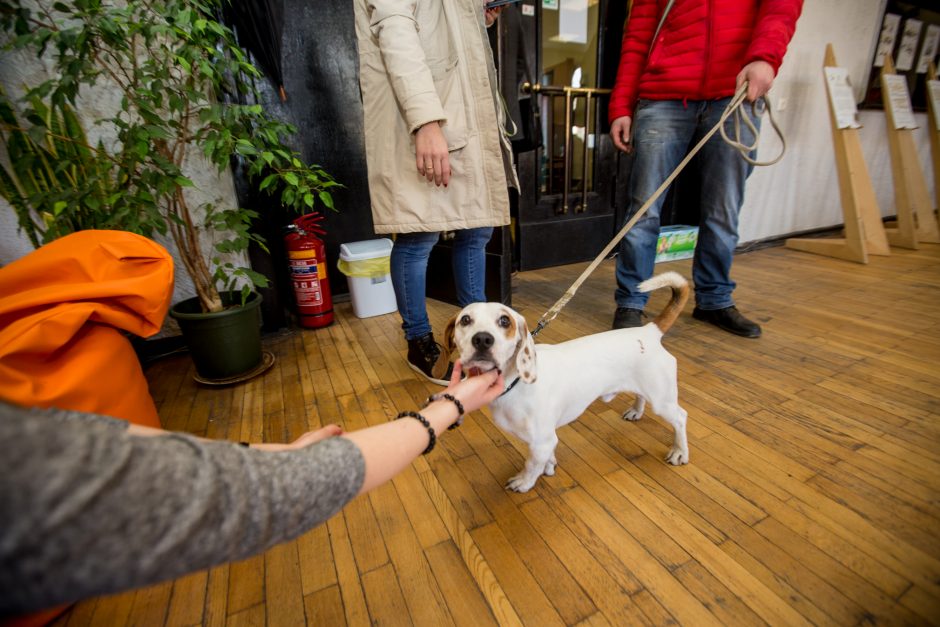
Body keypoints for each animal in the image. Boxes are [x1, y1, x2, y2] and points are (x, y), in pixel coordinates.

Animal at [440, 272, 692, 494]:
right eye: (465, 320)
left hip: (662, 400)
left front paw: (524, 482)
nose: (482, 339)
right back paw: (636, 411)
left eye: (504, 320)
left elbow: (531, 465)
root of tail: (649, 331)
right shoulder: (545, 440)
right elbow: (546, 458)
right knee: (640, 396)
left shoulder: (541, 441)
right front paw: (549, 466)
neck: (517, 383)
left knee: (680, 418)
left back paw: (680, 451)